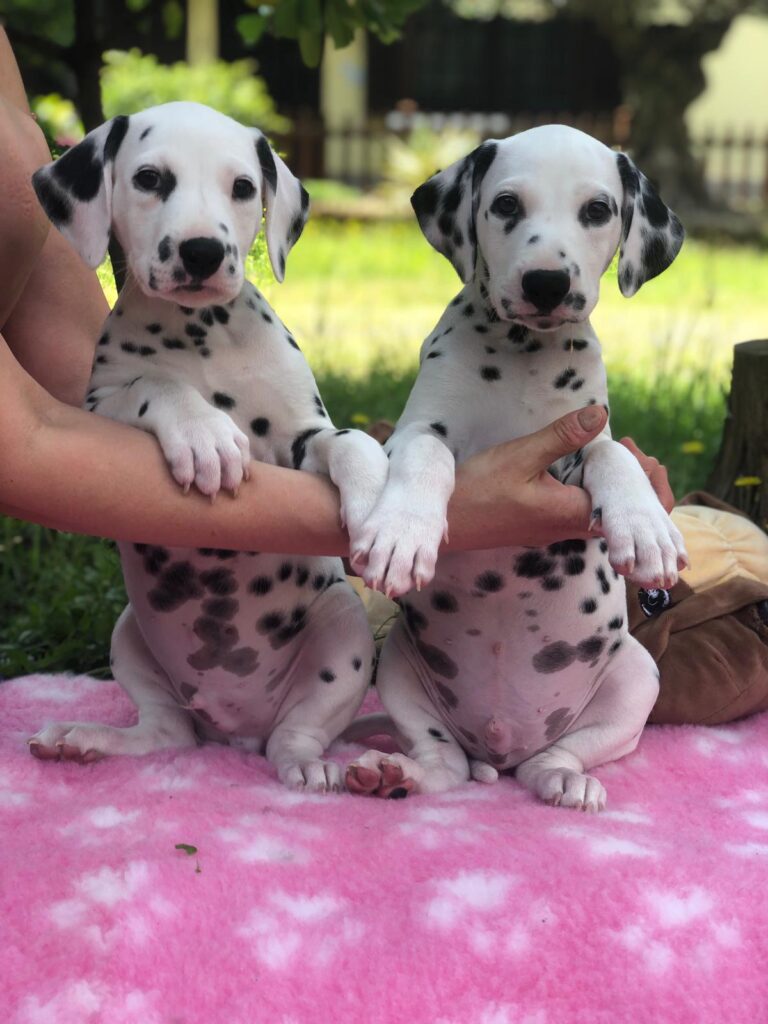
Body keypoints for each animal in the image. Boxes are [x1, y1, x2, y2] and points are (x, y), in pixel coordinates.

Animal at [28, 101, 391, 790]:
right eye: (149, 179)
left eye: (243, 187)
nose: (201, 251)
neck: (202, 335)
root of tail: (236, 729)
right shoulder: (100, 409)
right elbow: (157, 382)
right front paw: (204, 435)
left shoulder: (302, 440)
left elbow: (353, 441)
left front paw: (389, 516)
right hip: (130, 636)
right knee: (165, 733)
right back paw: (85, 739)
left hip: (342, 627)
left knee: (295, 737)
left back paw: (313, 767)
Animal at [346, 123, 688, 806]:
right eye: (506, 204)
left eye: (598, 210)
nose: (546, 283)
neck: (525, 354)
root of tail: (501, 747)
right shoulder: (415, 433)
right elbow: (426, 454)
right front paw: (402, 533)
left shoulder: (580, 438)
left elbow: (612, 451)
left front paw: (646, 527)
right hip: (396, 664)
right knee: (446, 764)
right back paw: (395, 774)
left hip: (637, 677)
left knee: (561, 754)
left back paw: (563, 779)